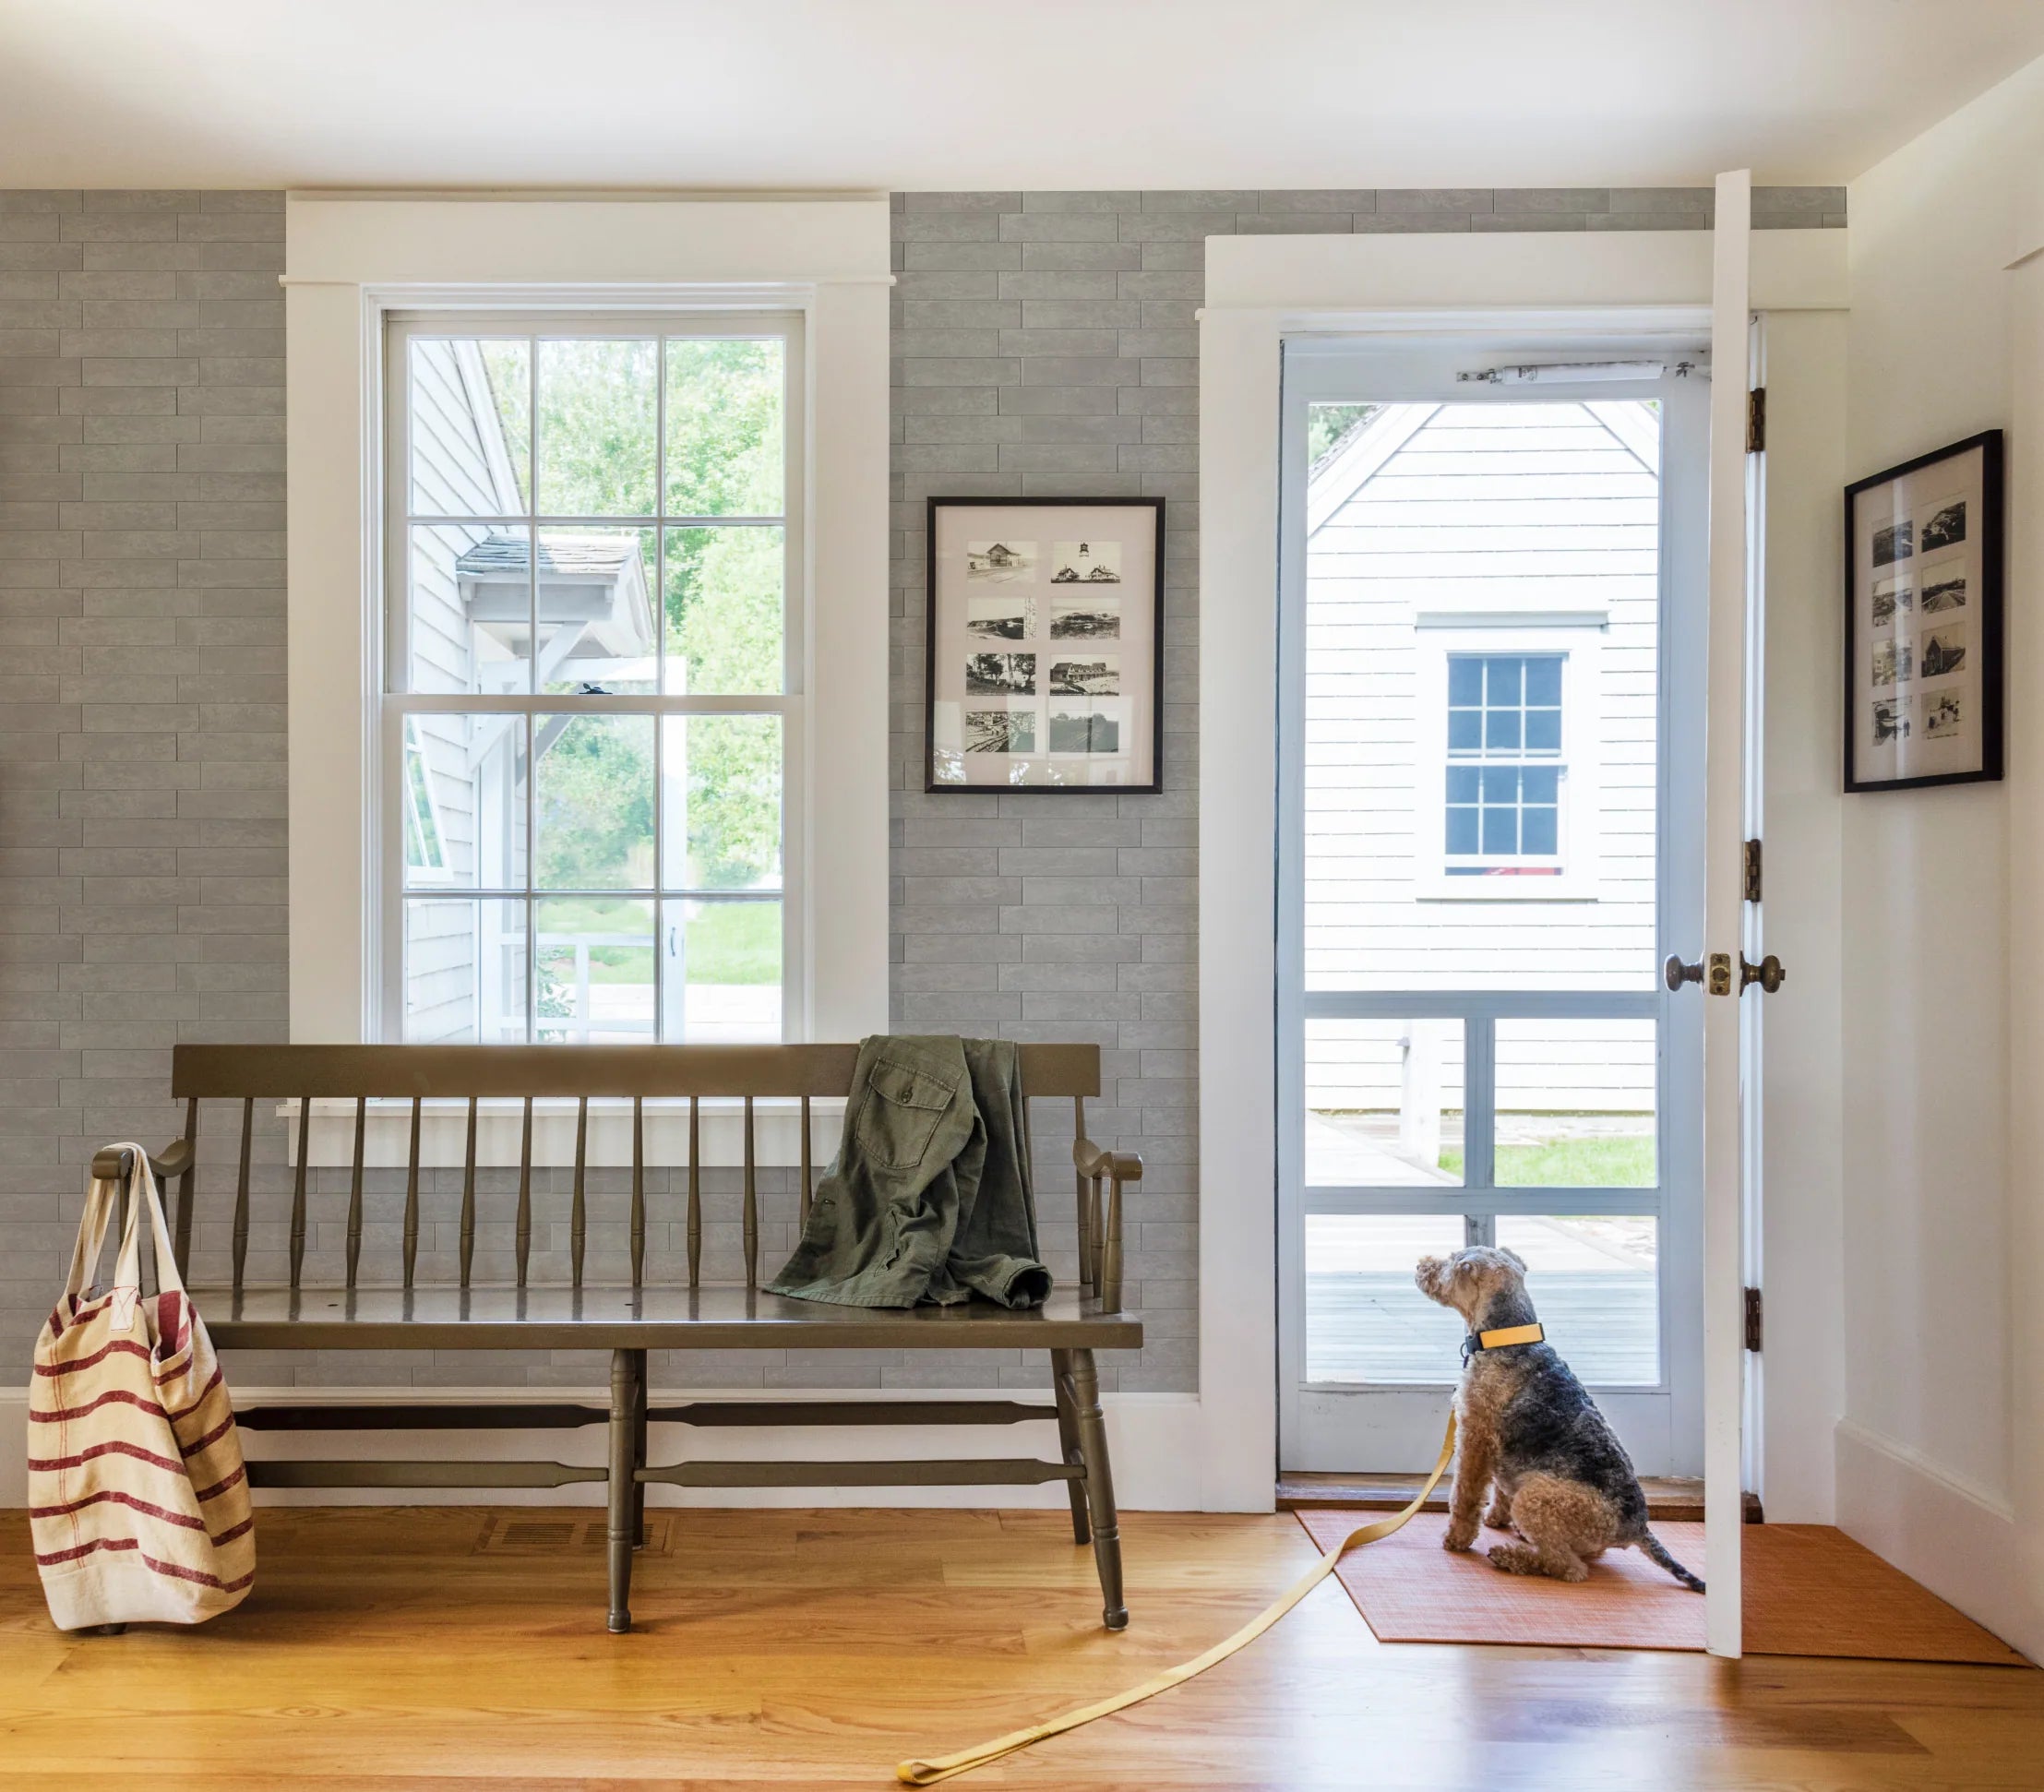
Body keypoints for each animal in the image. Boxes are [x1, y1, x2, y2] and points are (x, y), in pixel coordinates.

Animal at [1414, 1234, 1700, 1585]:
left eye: (1453, 1261)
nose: (1421, 1265)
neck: (1506, 1338)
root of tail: (1637, 1529)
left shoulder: (1474, 1436)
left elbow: (1465, 1495)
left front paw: (1456, 1539)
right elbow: (1500, 1490)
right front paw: (1496, 1519)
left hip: (1536, 1500)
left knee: (1570, 1567)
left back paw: (1509, 1556)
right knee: (1581, 1555)